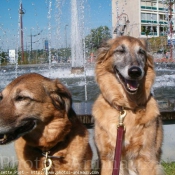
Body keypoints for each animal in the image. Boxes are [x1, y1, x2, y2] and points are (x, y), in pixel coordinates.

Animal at [92, 36, 165, 174]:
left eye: (141, 52)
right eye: (120, 51)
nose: (135, 72)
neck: (125, 107)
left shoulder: (146, 158)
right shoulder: (108, 159)